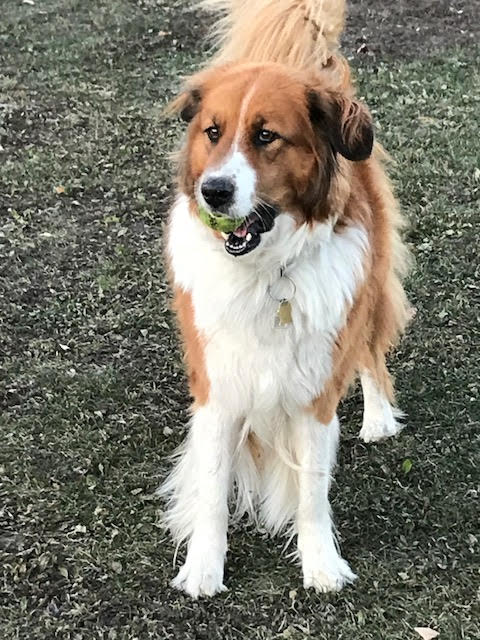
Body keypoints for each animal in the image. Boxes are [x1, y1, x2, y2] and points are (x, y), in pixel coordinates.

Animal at [161, 0, 411, 598]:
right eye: (213, 132)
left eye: (267, 136)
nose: (214, 192)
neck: (264, 271)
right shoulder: (218, 386)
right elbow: (211, 489)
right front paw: (204, 567)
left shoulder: (315, 392)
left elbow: (313, 491)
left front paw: (320, 564)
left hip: (367, 289)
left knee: (370, 353)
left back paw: (377, 417)